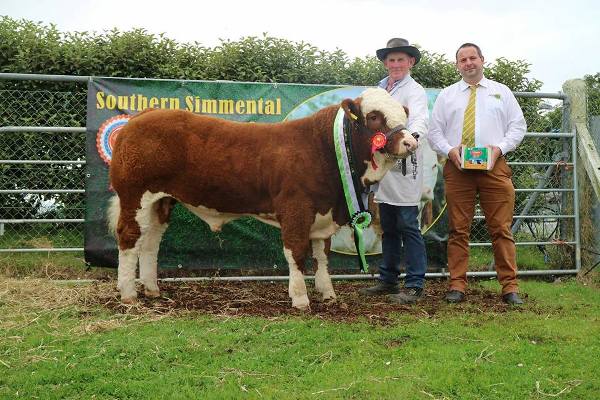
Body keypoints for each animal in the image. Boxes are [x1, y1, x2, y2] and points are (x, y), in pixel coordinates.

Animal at [108, 88, 414, 310]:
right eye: (374, 116)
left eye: (403, 115)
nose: (411, 141)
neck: (324, 148)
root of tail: (143, 115)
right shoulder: (296, 209)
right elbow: (296, 253)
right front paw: (300, 299)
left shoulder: (322, 212)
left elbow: (322, 255)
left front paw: (327, 293)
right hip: (134, 195)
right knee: (129, 237)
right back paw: (128, 294)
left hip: (161, 201)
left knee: (150, 242)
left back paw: (152, 289)